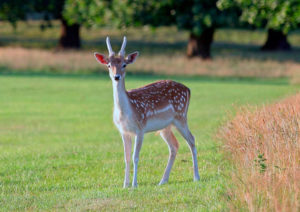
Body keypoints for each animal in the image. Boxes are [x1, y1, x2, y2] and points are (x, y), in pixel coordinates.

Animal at [95, 37, 200, 188]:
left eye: (124, 64)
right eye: (109, 65)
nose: (116, 77)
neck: (126, 113)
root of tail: (188, 89)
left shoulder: (140, 128)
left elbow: (135, 157)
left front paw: (134, 184)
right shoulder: (123, 131)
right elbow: (126, 157)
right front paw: (125, 185)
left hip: (181, 117)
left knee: (191, 140)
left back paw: (196, 177)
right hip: (166, 126)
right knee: (174, 146)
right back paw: (163, 180)